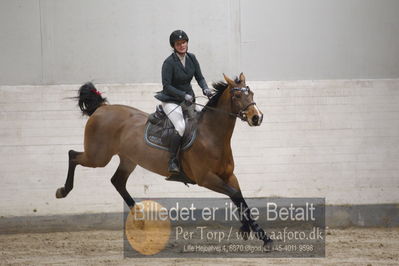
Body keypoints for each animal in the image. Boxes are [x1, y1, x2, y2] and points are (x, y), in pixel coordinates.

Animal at [56, 73, 274, 245]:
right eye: (237, 95)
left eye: (251, 94)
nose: (257, 117)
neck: (212, 136)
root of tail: (101, 109)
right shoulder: (206, 179)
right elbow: (235, 195)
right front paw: (251, 232)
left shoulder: (228, 175)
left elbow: (240, 198)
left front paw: (260, 235)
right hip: (98, 157)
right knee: (73, 155)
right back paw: (63, 191)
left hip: (128, 160)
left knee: (117, 181)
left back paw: (139, 220)